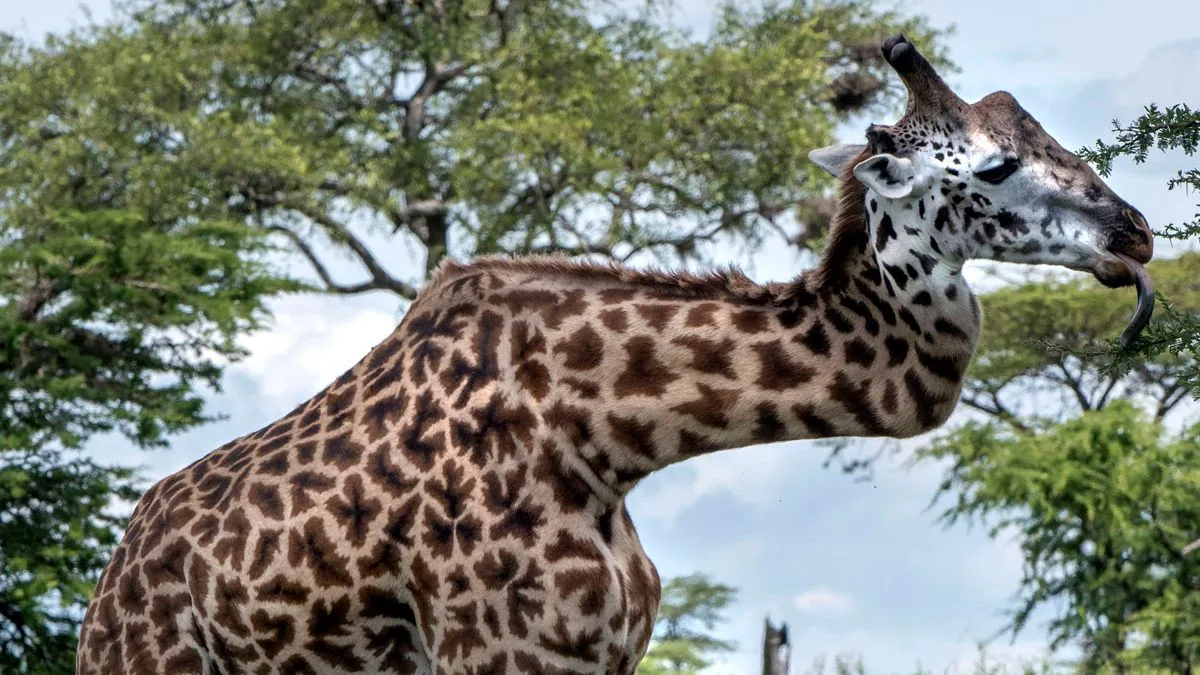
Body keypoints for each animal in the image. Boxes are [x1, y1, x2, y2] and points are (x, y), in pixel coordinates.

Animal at [77, 35, 1154, 675]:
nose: (1136, 235)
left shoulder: (608, 650)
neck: (605, 436)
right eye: (998, 165)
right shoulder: (500, 653)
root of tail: (107, 586)